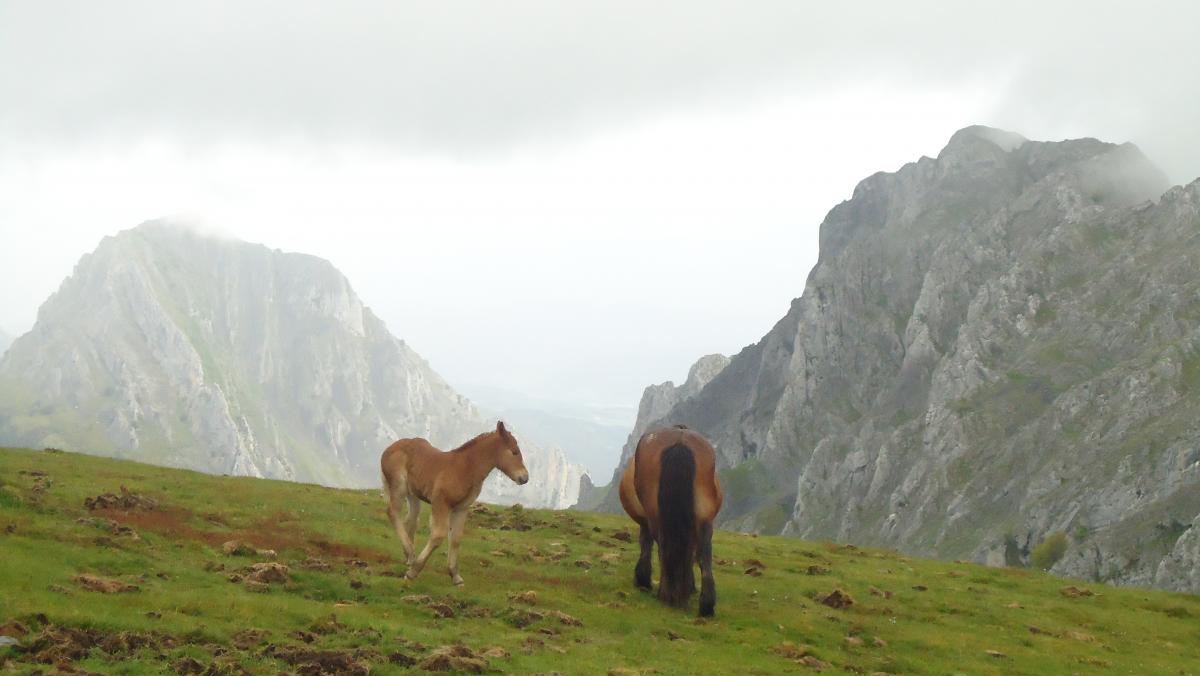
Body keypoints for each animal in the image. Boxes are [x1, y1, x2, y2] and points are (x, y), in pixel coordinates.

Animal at [374, 422, 525, 588]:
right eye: (514, 452)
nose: (525, 478)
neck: (465, 469)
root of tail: (390, 448)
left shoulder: (461, 509)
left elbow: (456, 538)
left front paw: (455, 576)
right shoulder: (441, 504)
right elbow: (438, 535)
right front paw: (413, 572)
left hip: (413, 494)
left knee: (411, 519)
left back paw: (409, 555)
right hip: (398, 486)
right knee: (393, 512)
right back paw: (411, 555)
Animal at [619, 425, 720, 614]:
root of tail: (679, 440)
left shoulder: (646, 520)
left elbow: (645, 543)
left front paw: (642, 579)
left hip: (656, 517)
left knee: (663, 546)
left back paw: (666, 594)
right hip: (704, 520)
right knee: (703, 553)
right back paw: (706, 605)